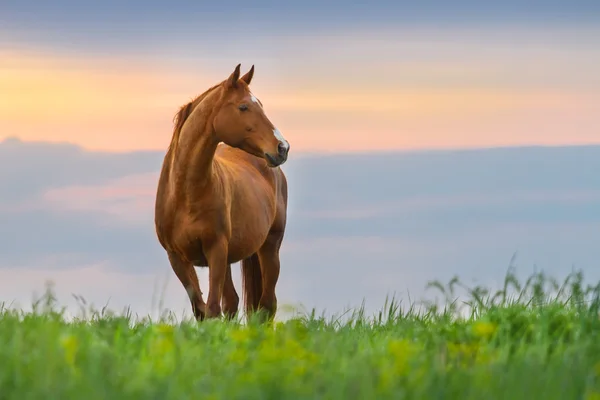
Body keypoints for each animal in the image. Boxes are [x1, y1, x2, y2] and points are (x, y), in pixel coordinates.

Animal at [155, 64, 290, 324]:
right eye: (243, 107)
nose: (282, 148)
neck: (186, 195)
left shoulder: (216, 251)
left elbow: (213, 308)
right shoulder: (177, 258)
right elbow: (202, 309)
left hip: (270, 247)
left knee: (267, 305)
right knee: (234, 302)